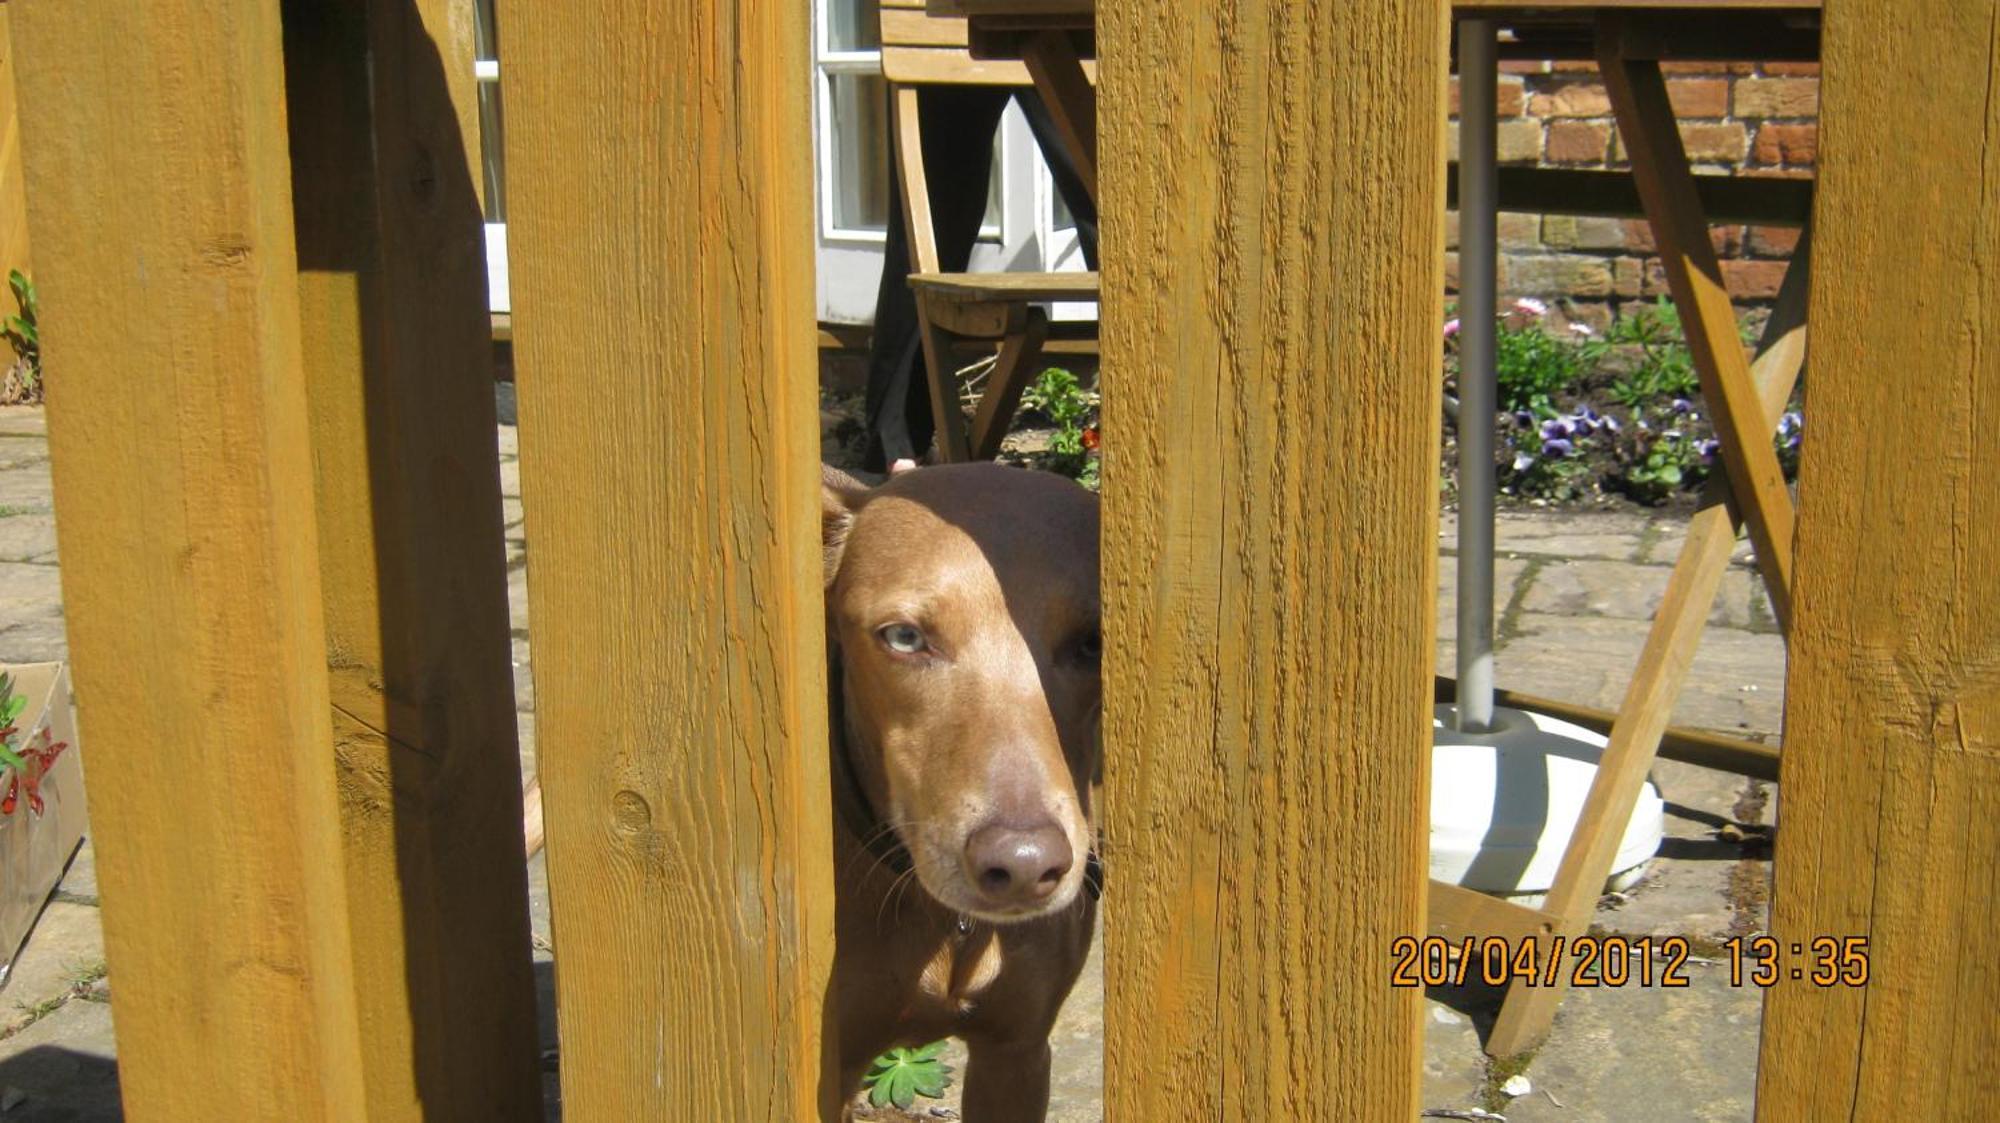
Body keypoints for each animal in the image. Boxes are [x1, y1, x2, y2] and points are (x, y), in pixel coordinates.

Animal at [524, 459, 1104, 1111]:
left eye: (1093, 642)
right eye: (904, 637)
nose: (1025, 865)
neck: (938, 921)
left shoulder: (1016, 1055)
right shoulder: (832, 1068)